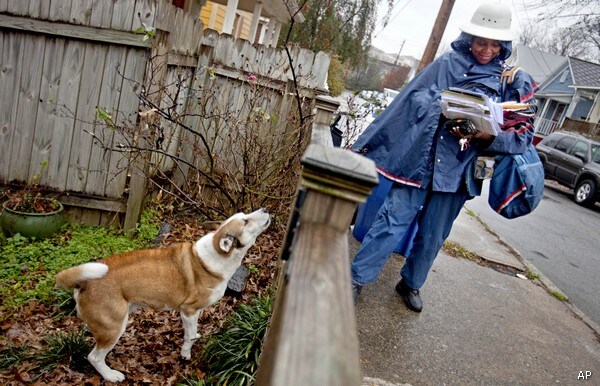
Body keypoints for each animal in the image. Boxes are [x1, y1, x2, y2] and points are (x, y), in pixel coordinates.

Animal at [55, 208, 270, 382]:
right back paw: (110, 376)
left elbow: (192, 332)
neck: (216, 255)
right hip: (113, 328)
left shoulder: (194, 312)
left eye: (244, 216)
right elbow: (190, 337)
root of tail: (84, 282)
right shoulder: (188, 310)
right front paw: (185, 354)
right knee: (94, 357)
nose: (265, 209)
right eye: (245, 221)